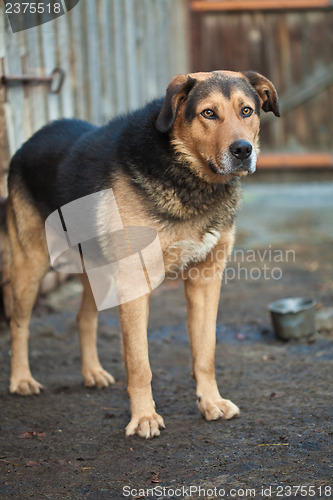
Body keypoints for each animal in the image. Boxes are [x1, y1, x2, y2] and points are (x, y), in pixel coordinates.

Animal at [2, 69, 278, 438]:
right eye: (208, 113)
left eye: (246, 110)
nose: (243, 150)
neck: (188, 178)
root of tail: (30, 140)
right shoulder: (135, 282)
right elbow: (139, 362)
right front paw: (144, 417)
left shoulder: (206, 279)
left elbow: (205, 352)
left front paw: (211, 402)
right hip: (30, 263)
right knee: (19, 323)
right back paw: (21, 380)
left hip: (99, 268)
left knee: (83, 318)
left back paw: (92, 373)